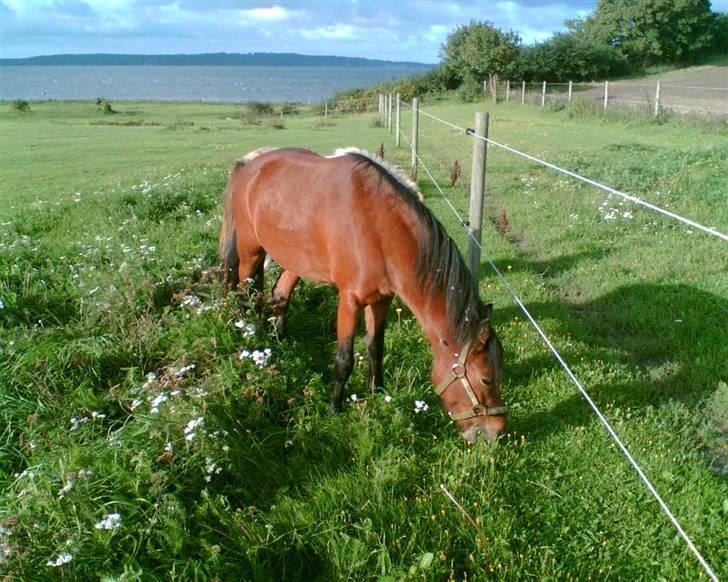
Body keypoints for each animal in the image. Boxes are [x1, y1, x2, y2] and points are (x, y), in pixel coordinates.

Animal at [219, 147, 510, 442]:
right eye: (486, 379)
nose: (497, 432)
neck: (378, 228)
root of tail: (249, 163)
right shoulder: (349, 300)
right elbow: (343, 360)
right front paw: (335, 408)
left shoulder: (381, 300)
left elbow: (375, 348)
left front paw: (377, 392)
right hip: (250, 251)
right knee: (246, 292)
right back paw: (250, 334)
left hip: (295, 258)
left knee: (279, 294)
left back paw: (279, 337)